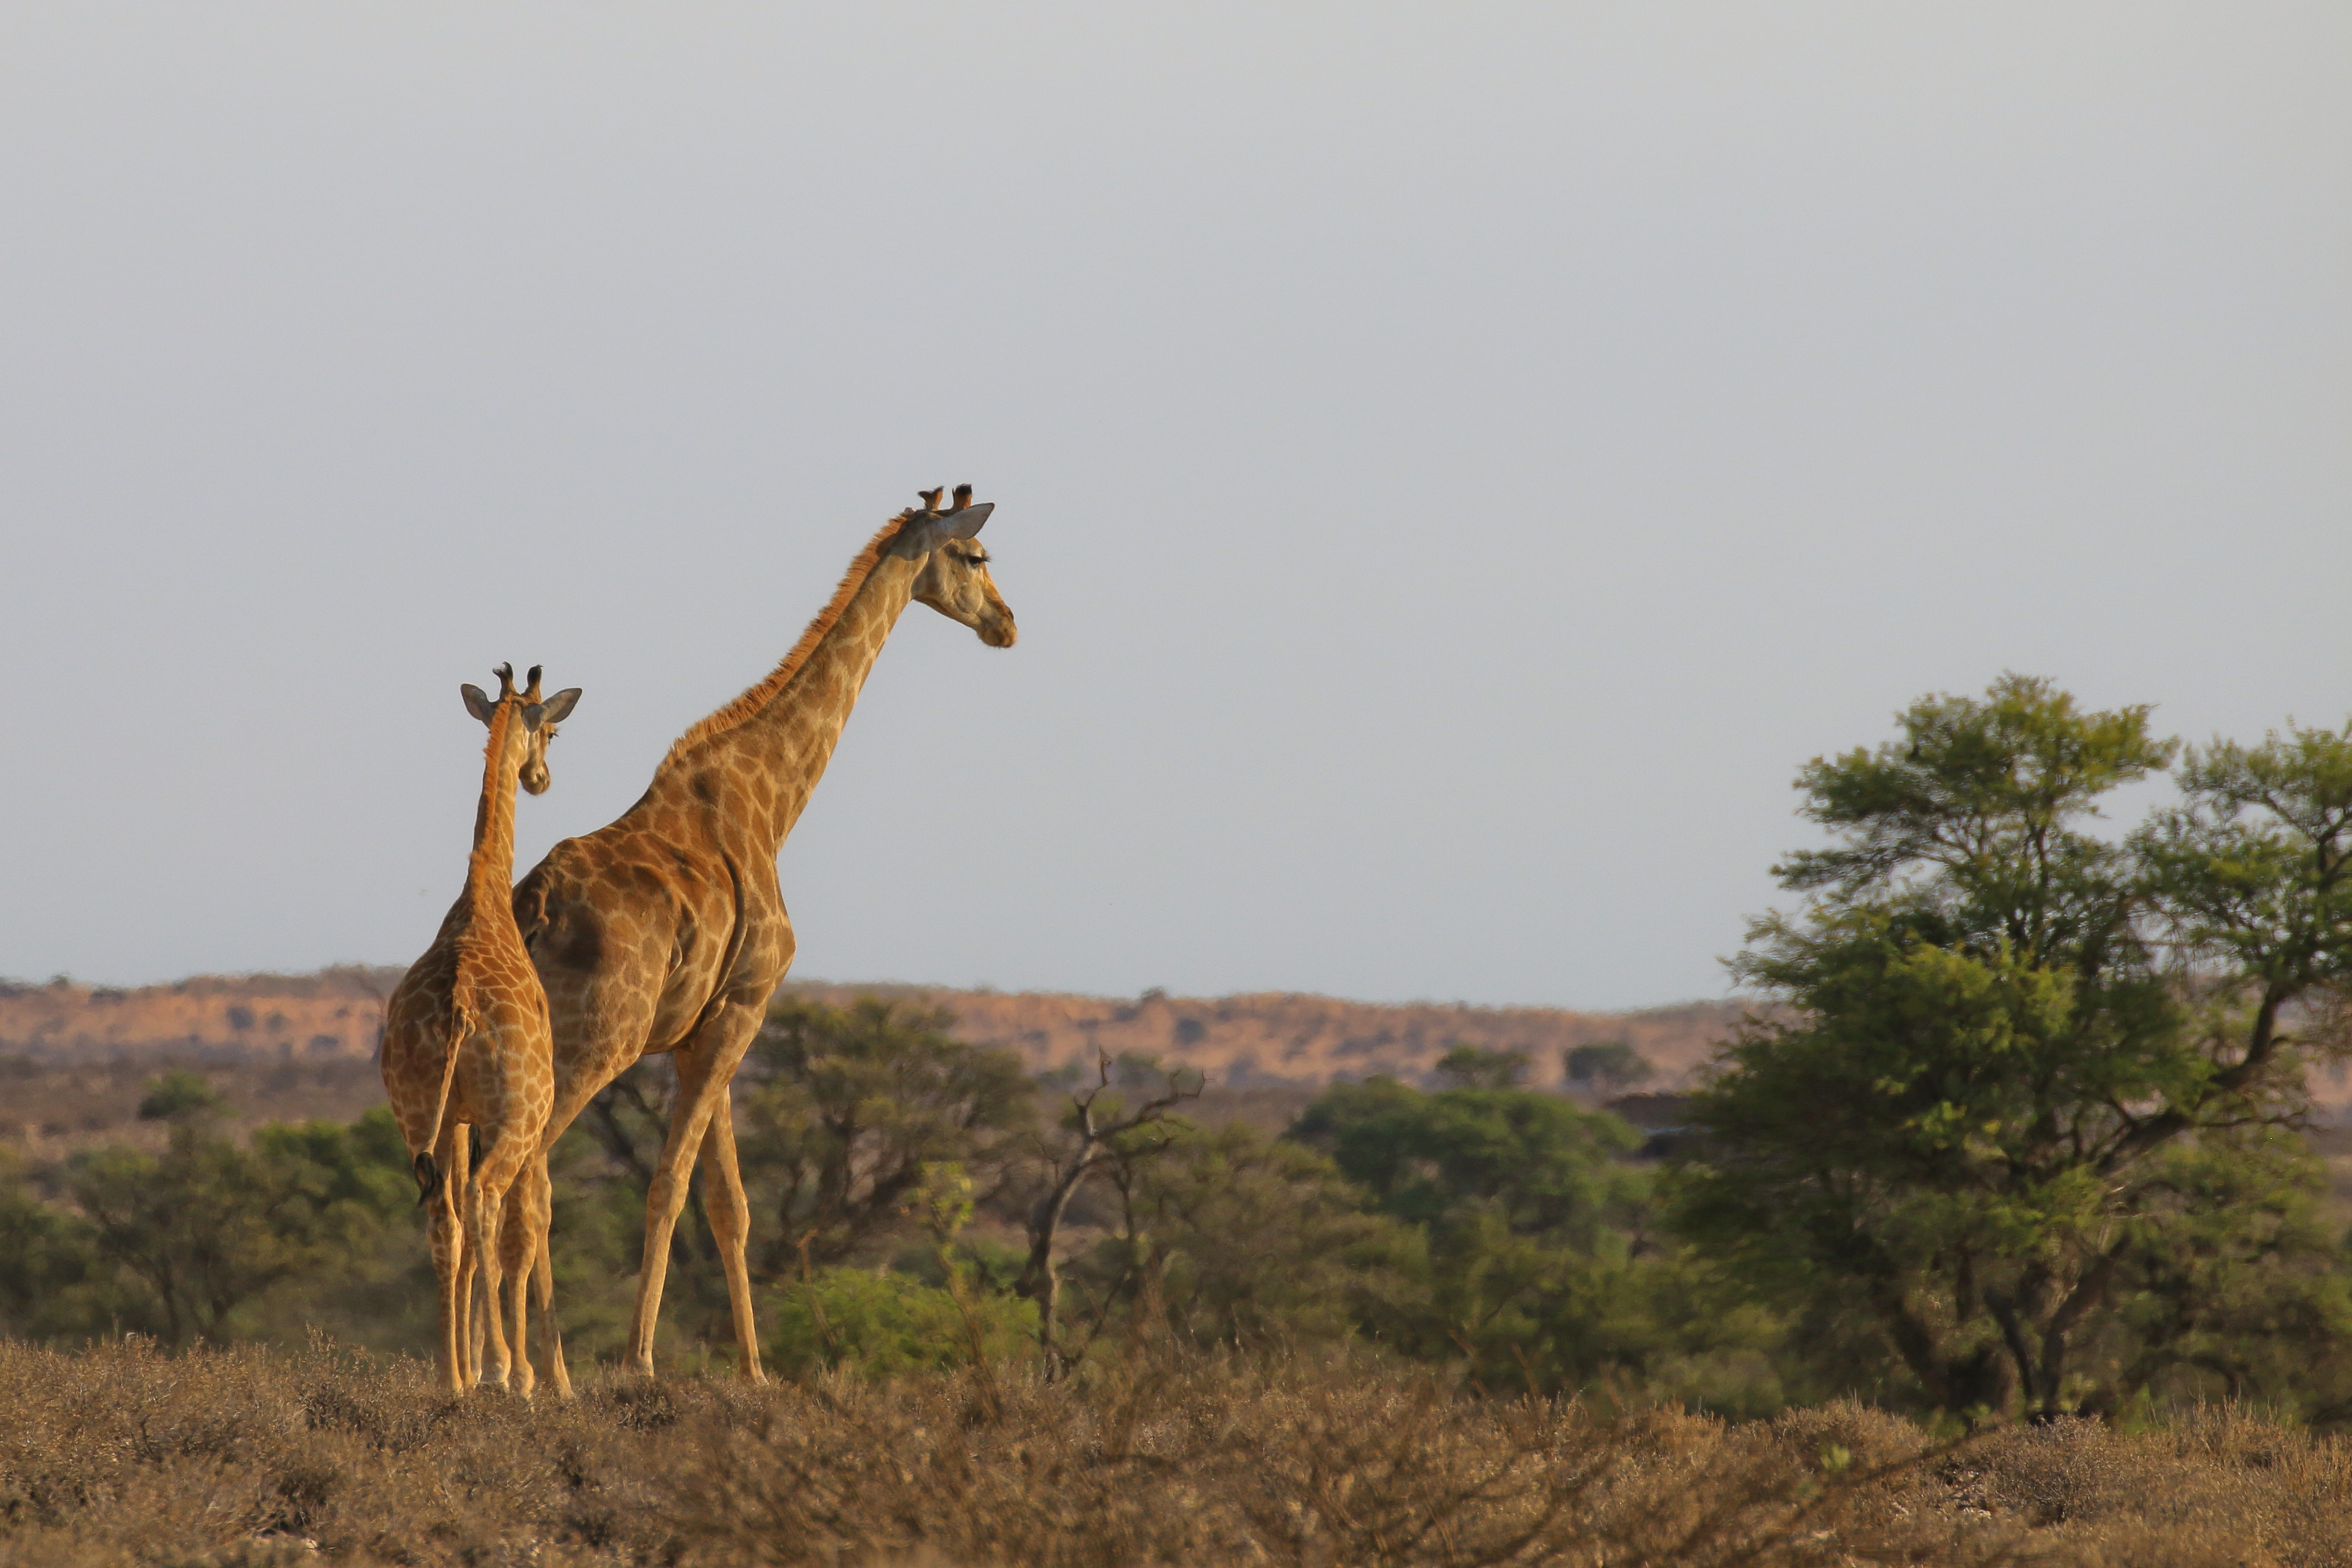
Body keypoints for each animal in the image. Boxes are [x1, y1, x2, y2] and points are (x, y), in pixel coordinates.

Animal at [385, 663, 583, 1401]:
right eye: (551, 730)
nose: (541, 779)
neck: (484, 898)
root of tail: (459, 1011)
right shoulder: (513, 1115)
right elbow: (519, 1231)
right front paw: (516, 1374)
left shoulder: (455, 1117)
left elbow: (464, 1236)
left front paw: (466, 1371)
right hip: (516, 1113)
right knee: (486, 1201)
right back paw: (503, 1371)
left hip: (416, 1112)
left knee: (444, 1214)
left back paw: (453, 1380)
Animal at [515, 486, 1011, 1372]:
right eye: (976, 556)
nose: (1007, 623)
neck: (772, 802)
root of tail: (535, 904)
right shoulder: (744, 1006)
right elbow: (671, 1183)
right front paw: (642, 1360)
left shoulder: (704, 1028)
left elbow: (729, 1200)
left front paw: (754, 1370)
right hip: (597, 1037)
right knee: (529, 1169)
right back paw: (548, 1371)